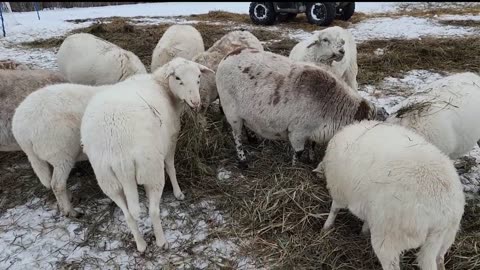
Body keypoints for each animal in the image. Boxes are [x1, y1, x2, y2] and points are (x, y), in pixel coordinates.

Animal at [81, 58, 214, 252]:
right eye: (178, 78)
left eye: (198, 78)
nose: (195, 102)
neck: (162, 86)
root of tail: (120, 154)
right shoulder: (170, 140)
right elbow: (171, 167)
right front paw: (178, 192)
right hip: (151, 170)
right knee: (153, 211)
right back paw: (162, 241)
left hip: (107, 179)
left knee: (128, 215)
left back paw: (141, 244)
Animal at [216, 48, 380, 167]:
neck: (333, 103)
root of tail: (228, 56)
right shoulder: (297, 132)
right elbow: (298, 152)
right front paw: (294, 167)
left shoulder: (315, 130)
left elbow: (312, 144)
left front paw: (312, 158)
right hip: (232, 112)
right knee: (237, 136)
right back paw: (242, 160)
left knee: (246, 125)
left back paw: (252, 138)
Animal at [316, 121, 464, 270]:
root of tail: (442, 215)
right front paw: (363, 232)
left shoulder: (339, 190)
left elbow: (334, 209)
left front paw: (326, 227)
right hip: (446, 237)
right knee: (439, 259)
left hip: (390, 238)